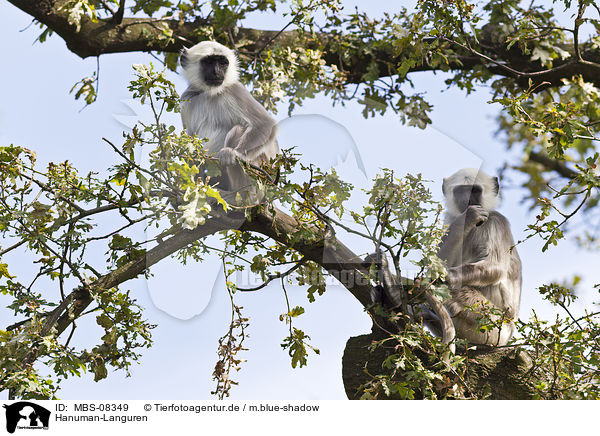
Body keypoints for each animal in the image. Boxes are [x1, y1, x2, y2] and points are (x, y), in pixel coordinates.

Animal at [179, 41, 280, 198]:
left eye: (222, 63)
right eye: (208, 62)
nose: (217, 72)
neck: (209, 93)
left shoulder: (234, 89)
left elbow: (265, 124)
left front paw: (234, 153)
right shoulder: (186, 98)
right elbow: (190, 143)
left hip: (258, 179)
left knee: (238, 129)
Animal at [434, 169, 524, 346]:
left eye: (475, 190)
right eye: (461, 190)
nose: (468, 200)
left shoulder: (497, 222)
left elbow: (495, 266)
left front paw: (447, 277)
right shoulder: (449, 220)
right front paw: (466, 218)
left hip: (495, 326)